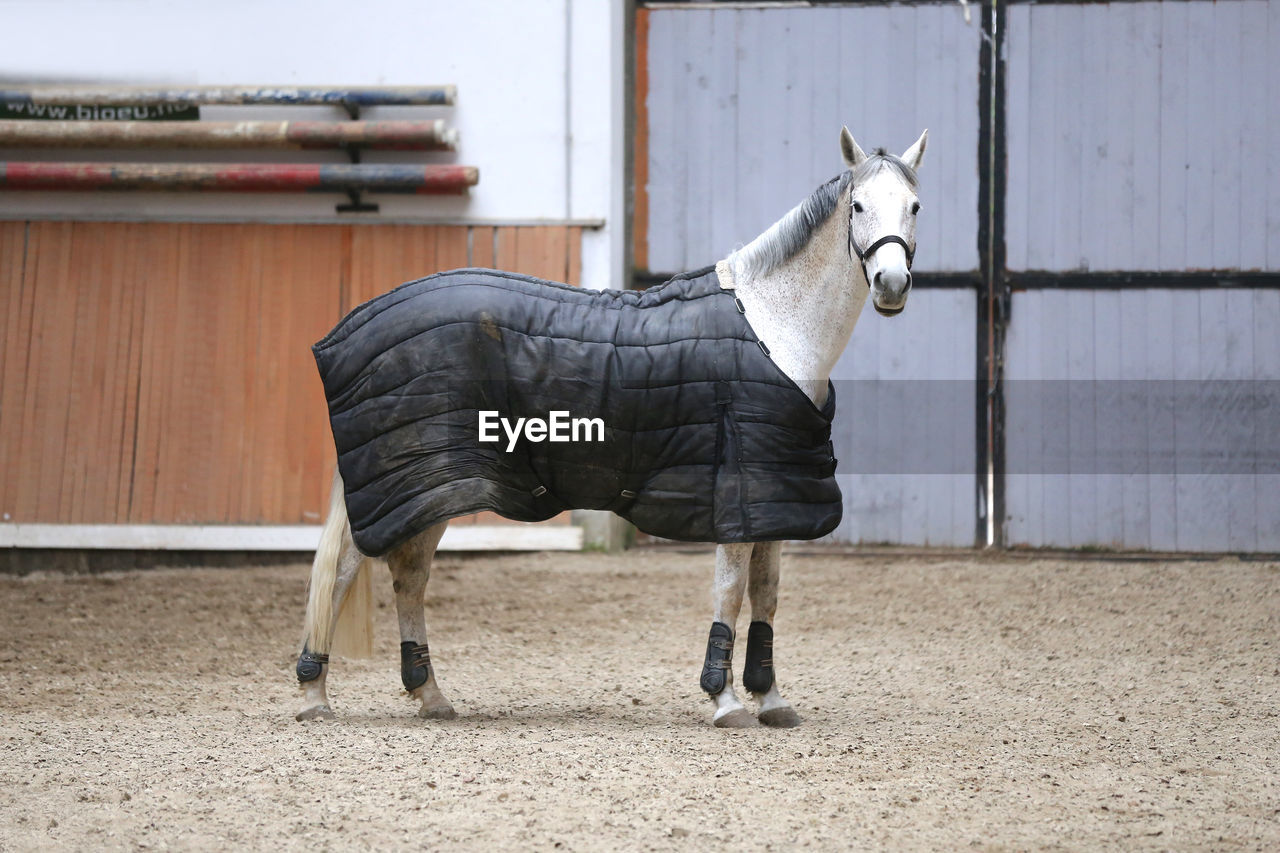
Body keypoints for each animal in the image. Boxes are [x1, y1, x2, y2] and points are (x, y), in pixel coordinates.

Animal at [294, 126, 926, 722]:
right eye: (858, 205)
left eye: (915, 206)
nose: (892, 286)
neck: (774, 327)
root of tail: (354, 327)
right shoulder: (737, 495)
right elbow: (729, 592)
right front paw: (725, 703)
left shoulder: (775, 496)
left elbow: (765, 596)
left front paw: (769, 698)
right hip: (415, 483)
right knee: (348, 569)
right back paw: (314, 694)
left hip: (432, 489)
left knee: (409, 576)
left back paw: (429, 696)